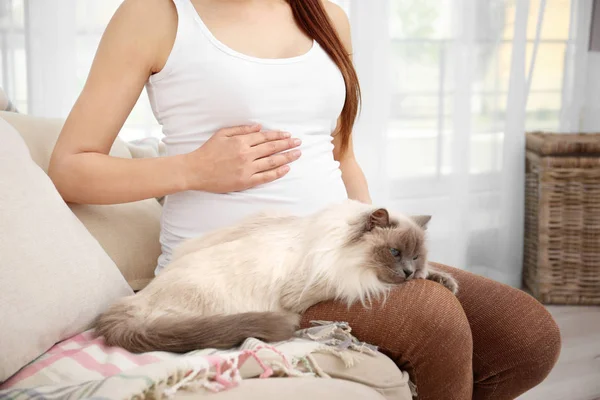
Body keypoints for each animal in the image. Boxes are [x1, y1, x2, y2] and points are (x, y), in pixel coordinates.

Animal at [96, 200, 458, 354]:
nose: (408, 272)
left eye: (415, 256)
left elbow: (435, 275)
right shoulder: (325, 283)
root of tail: (134, 302)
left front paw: (445, 281)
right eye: (395, 253)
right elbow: (367, 284)